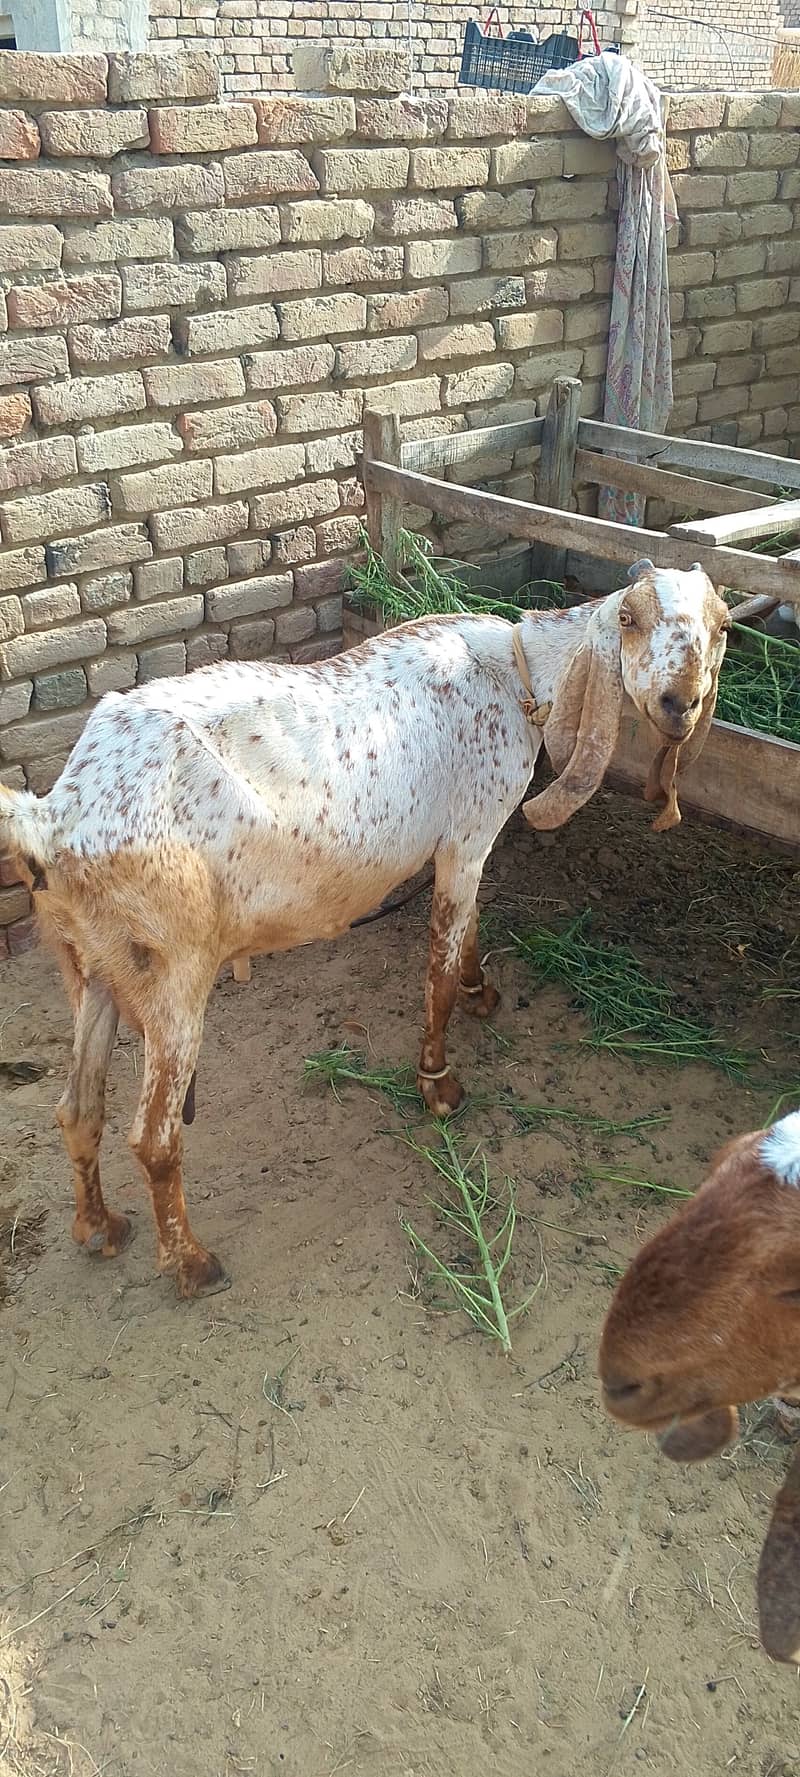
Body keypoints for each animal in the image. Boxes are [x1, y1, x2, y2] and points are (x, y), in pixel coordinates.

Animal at [0, 560, 729, 1300]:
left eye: (721, 626)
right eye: (630, 619)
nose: (680, 703)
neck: (517, 673)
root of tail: (54, 816)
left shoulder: (463, 844)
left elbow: (467, 934)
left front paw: (482, 993)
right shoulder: (468, 835)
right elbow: (441, 961)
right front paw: (439, 1083)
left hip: (94, 963)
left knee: (76, 1107)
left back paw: (99, 1226)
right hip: (173, 970)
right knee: (154, 1137)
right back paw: (192, 1263)